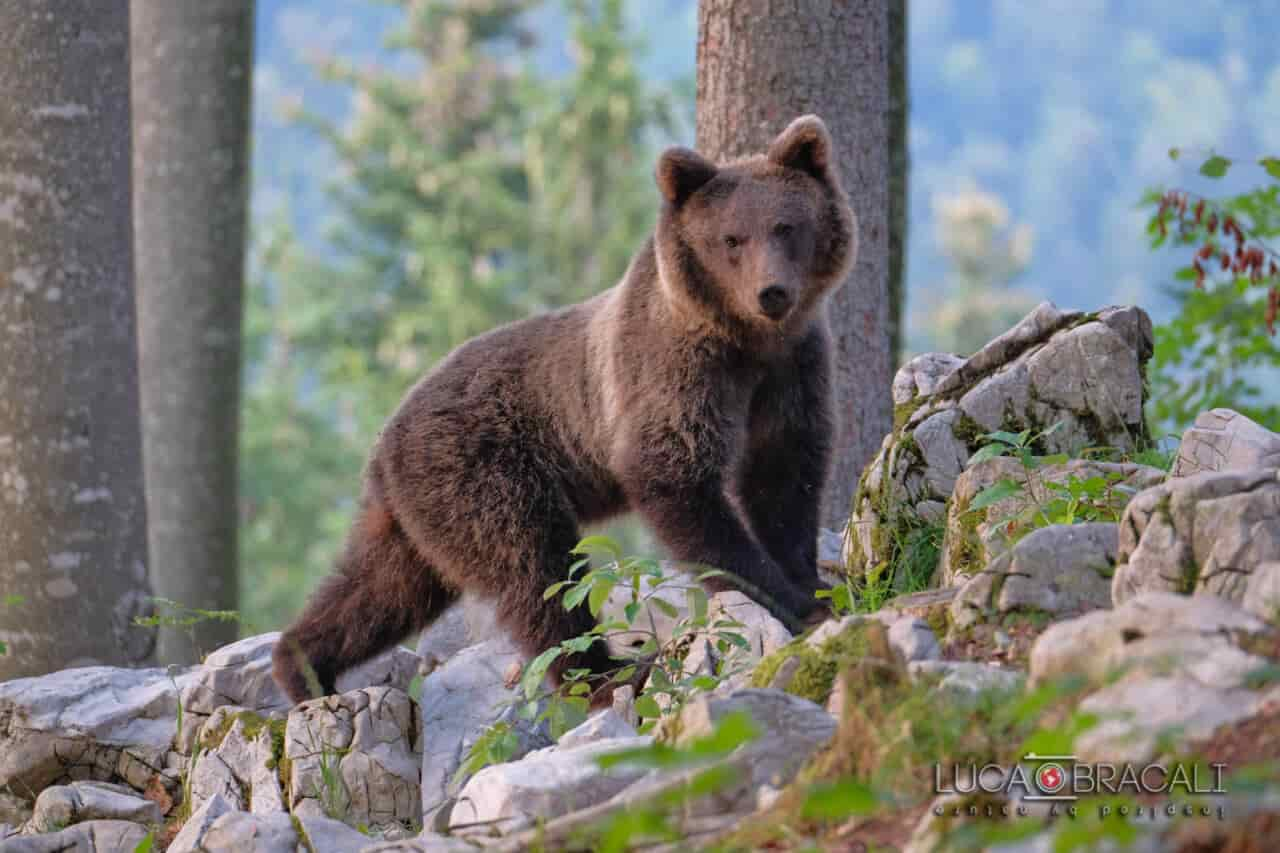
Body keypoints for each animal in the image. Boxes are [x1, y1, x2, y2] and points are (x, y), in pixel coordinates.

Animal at [273, 114, 855, 701]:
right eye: (731, 238)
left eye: (786, 227)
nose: (771, 292)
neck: (746, 343)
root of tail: (385, 441)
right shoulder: (674, 372)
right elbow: (677, 478)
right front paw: (792, 601)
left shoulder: (791, 368)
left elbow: (785, 473)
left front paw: (811, 582)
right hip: (482, 471)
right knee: (534, 568)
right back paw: (607, 672)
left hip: (419, 514)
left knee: (386, 587)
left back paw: (303, 665)